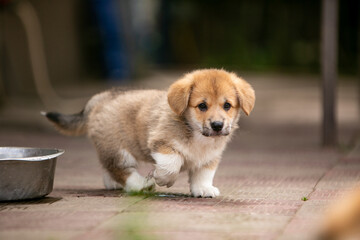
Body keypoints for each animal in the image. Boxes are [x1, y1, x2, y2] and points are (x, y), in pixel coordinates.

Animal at [43, 69, 256, 197]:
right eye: (202, 106)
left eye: (227, 105)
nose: (218, 125)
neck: (195, 132)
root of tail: (100, 98)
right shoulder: (162, 144)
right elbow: (172, 164)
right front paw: (161, 178)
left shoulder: (209, 158)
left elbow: (203, 174)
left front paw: (203, 189)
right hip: (118, 149)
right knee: (122, 170)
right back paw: (140, 185)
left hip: (110, 149)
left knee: (108, 167)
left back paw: (113, 183)